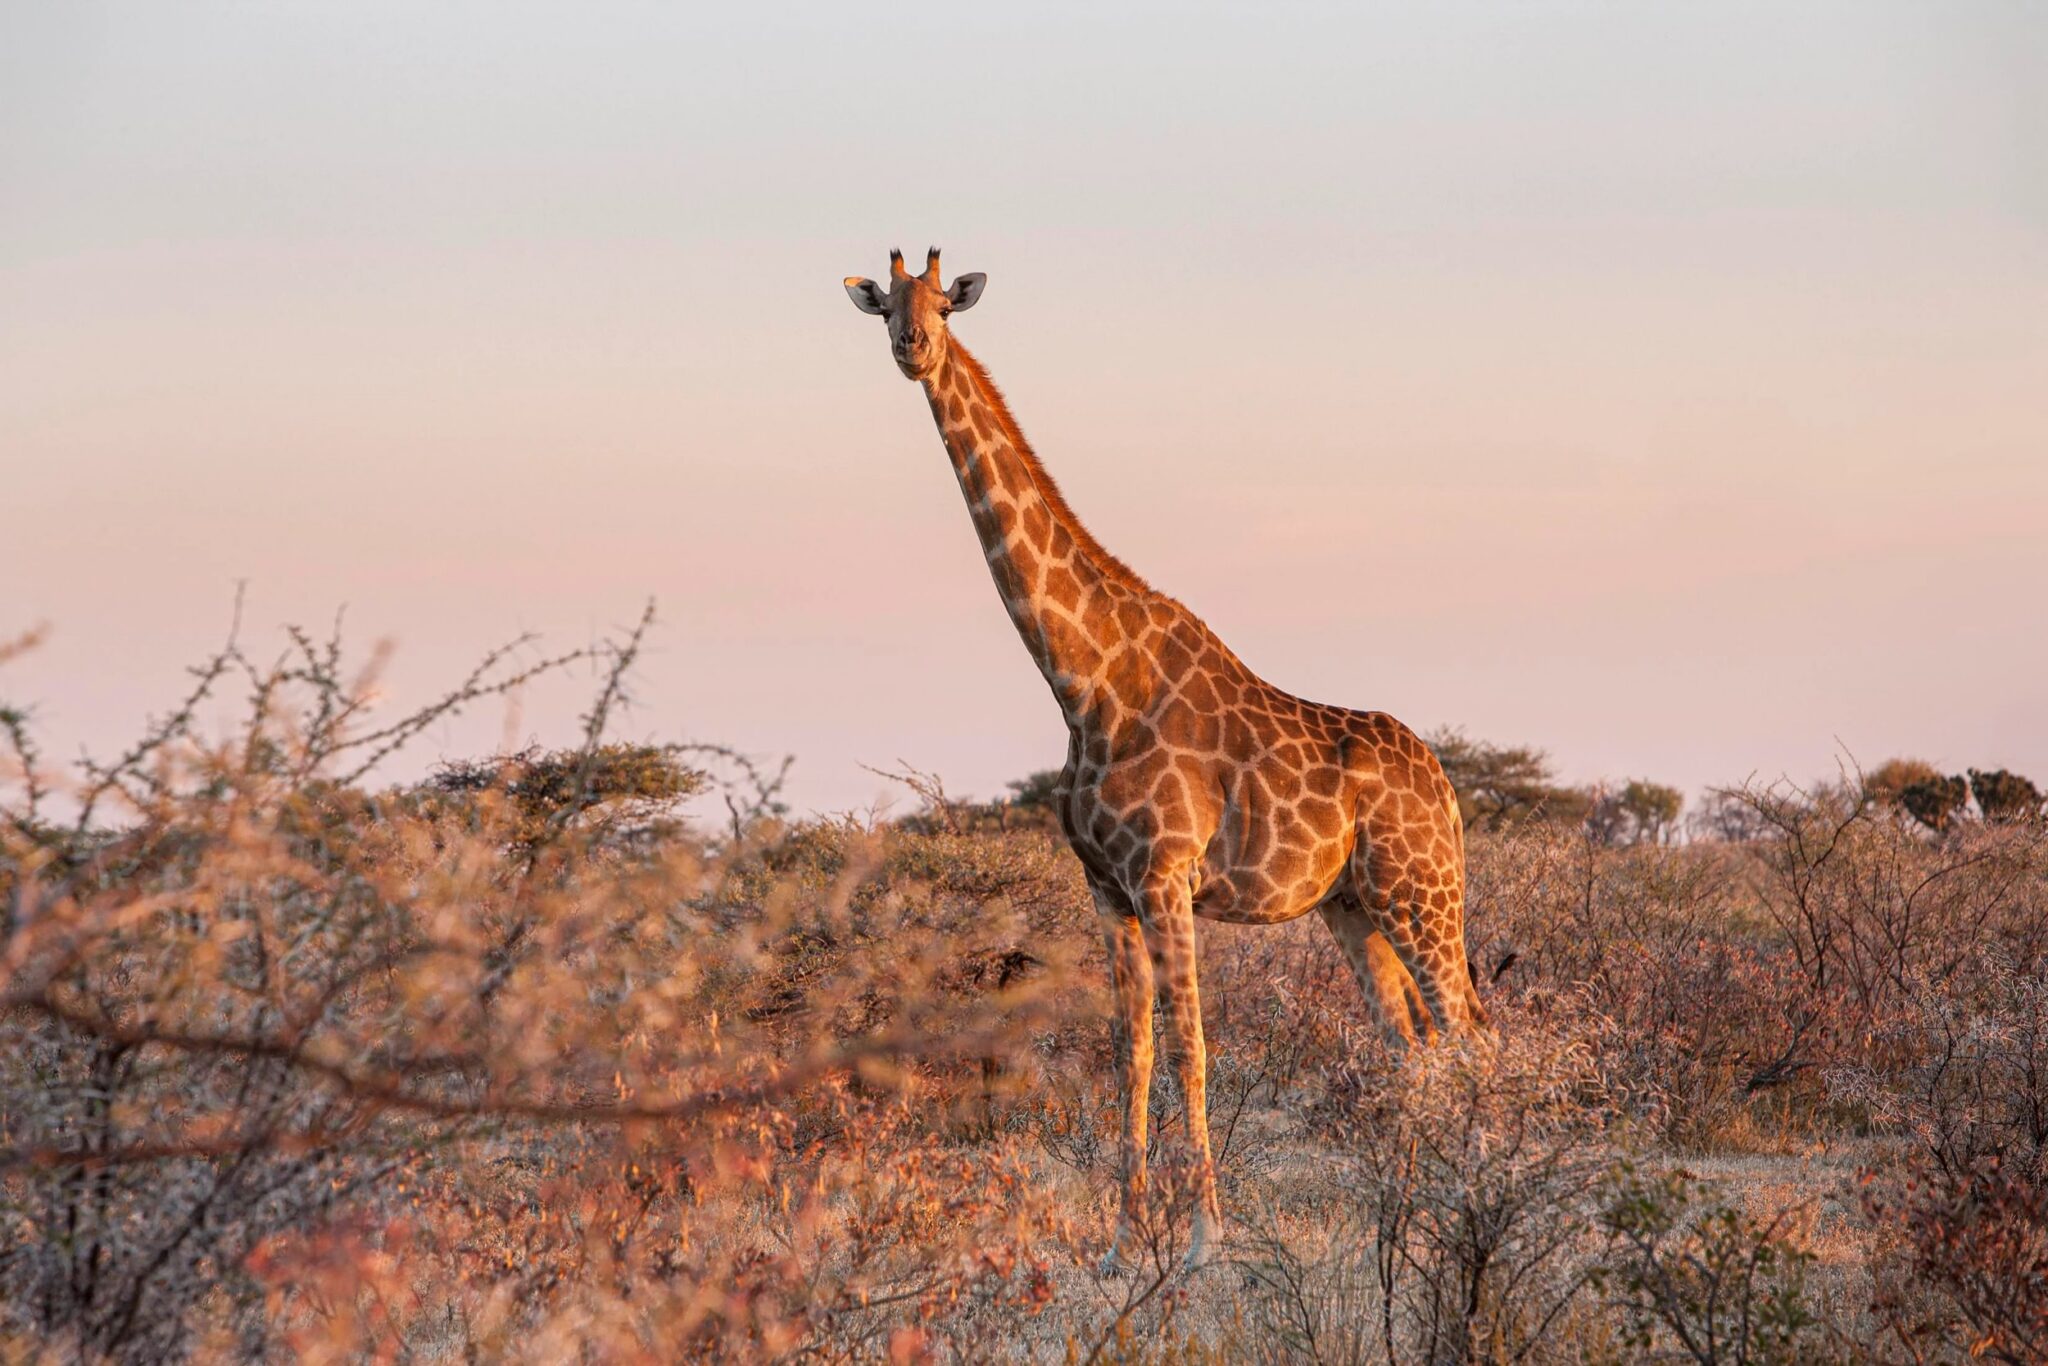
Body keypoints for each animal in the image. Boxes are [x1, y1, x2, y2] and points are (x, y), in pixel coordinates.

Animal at [843, 248, 1488, 1274]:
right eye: (886, 305)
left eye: (943, 302)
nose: (913, 347)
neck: (1085, 678)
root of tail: (1450, 792)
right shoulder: (1106, 887)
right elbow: (1130, 1050)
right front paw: (1121, 1241)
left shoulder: (1166, 876)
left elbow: (1191, 1045)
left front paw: (1201, 1239)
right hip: (1353, 906)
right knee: (1411, 1041)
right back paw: (1412, 1220)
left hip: (1422, 892)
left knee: (1469, 1035)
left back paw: (1479, 1201)